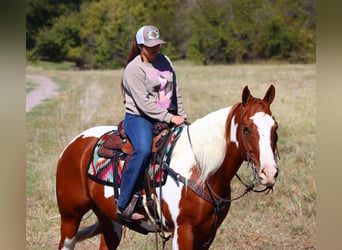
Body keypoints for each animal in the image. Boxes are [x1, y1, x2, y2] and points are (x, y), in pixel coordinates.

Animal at [56, 85, 280, 249]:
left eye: (275, 128)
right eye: (246, 128)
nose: (269, 173)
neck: (200, 171)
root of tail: (75, 143)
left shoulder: (207, 235)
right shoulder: (182, 232)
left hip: (110, 221)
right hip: (70, 218)